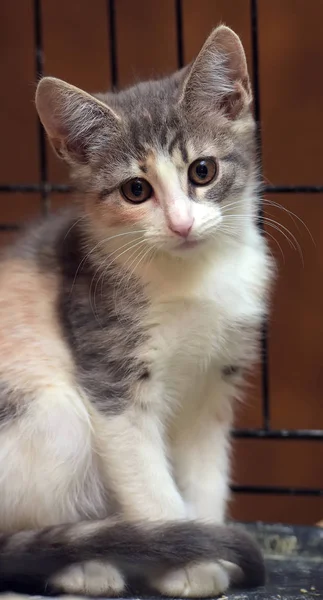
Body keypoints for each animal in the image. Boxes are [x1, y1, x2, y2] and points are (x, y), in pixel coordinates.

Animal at [0, 24, 270, 596]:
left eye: (203, 171)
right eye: (136, 190)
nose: (182, 224)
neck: (193, 277)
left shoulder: (214, 387)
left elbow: (205, 475)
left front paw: (205, 544)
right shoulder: (112, 380)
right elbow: (147, 480)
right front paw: (189, 564)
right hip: (53, 414)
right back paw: (83, 564)